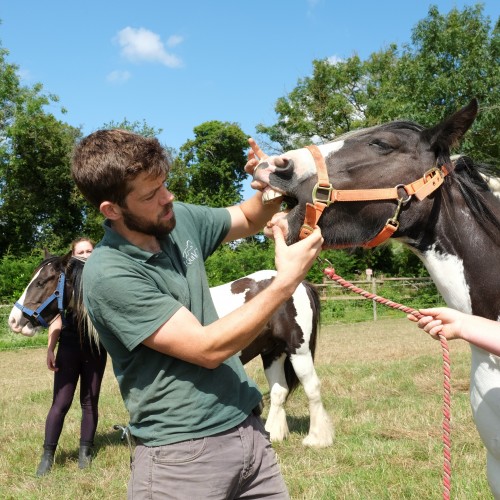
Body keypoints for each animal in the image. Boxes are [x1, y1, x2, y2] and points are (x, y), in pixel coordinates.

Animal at [7, 258, 334, 446]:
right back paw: (274, 434)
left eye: (42, 281)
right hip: (273, 353)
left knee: (312, 388)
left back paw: (318, 439)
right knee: (279, 392)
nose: (14, 319)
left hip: (298, 351)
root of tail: (300, 283)